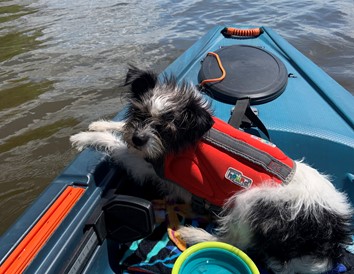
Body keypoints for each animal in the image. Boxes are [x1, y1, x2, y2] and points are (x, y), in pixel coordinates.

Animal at [70, 67, 352, 274]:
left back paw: (193, 234)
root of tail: (329, 239)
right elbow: (122, 132)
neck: (189, 137)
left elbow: (121, 150)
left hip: (250, 200)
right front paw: (101, 125)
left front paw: (86, 137)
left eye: (167, 128)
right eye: (140, 114)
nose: (139, 138)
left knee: (233, 243)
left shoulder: (154, 167)